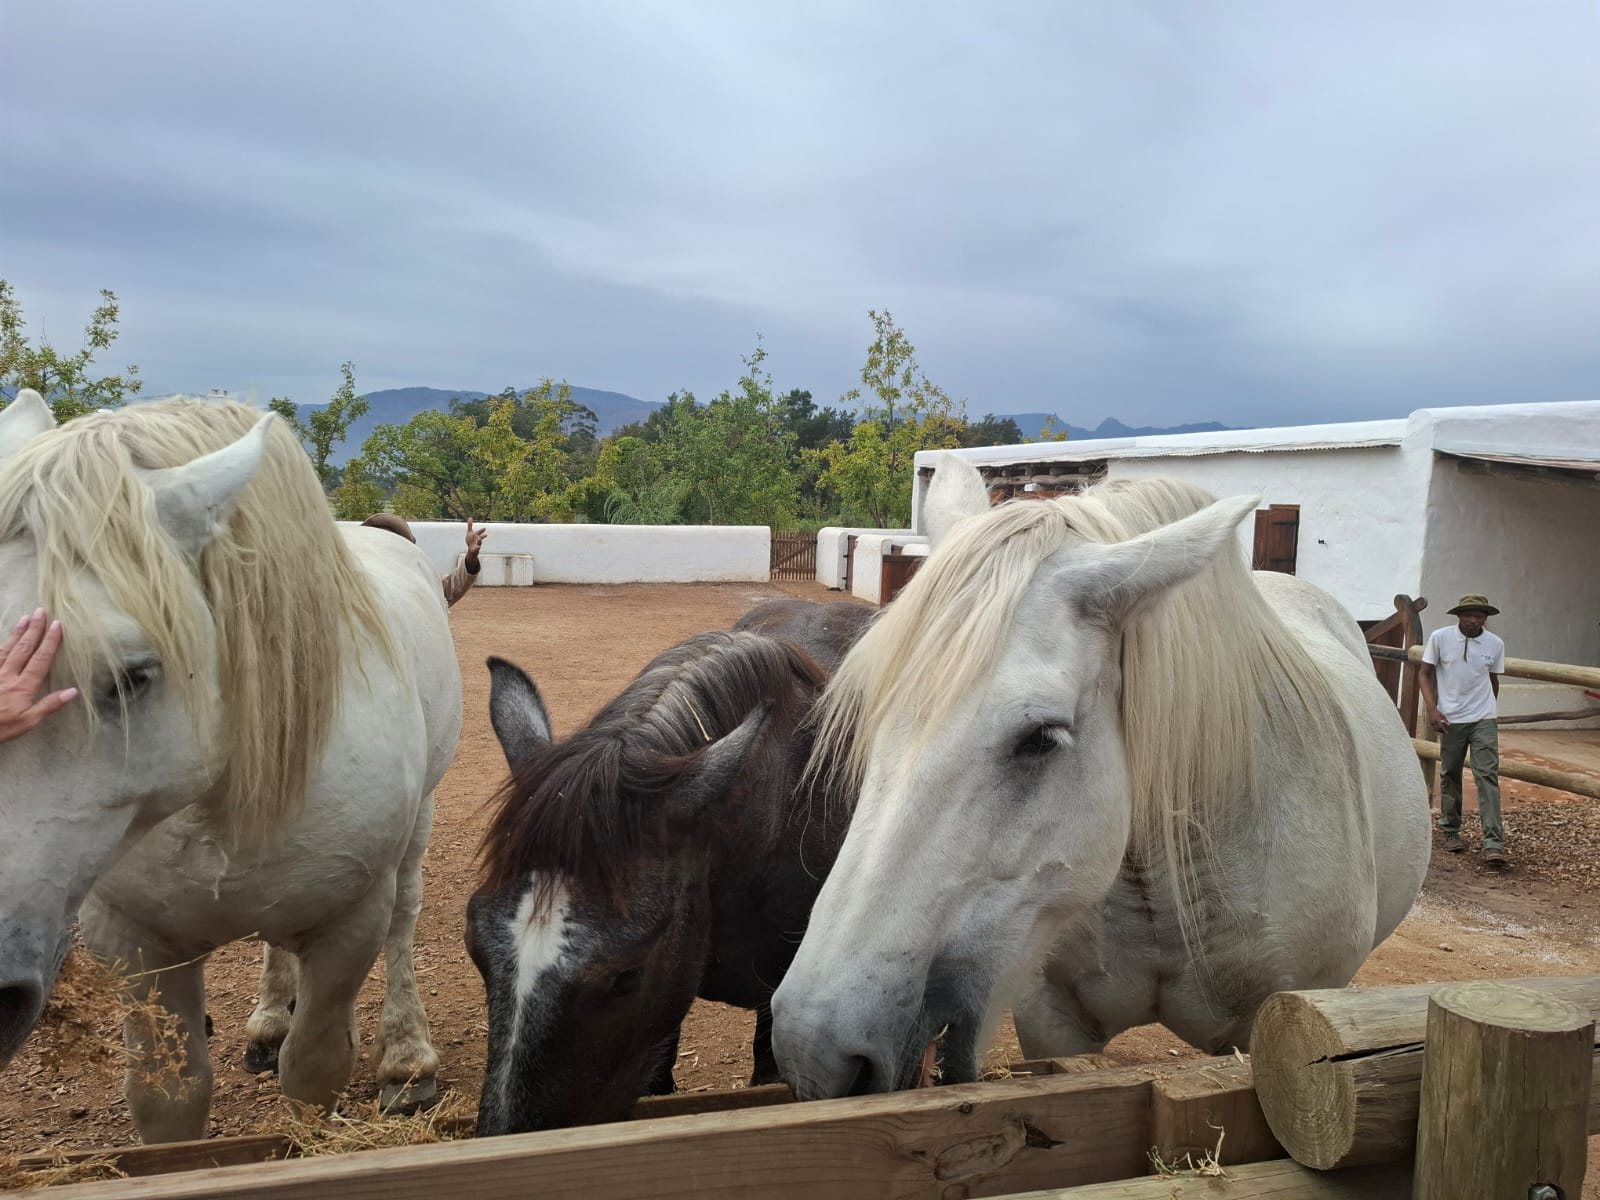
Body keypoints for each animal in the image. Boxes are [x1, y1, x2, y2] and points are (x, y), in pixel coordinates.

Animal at [0, 389, 462, 1142]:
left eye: (131, 677)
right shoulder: (137, 944)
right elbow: (171, 1097)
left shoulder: (348, 926)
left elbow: (314, 1074)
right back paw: (270, 1022)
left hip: (418, 824)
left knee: (404, 916)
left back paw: (405, 1060)